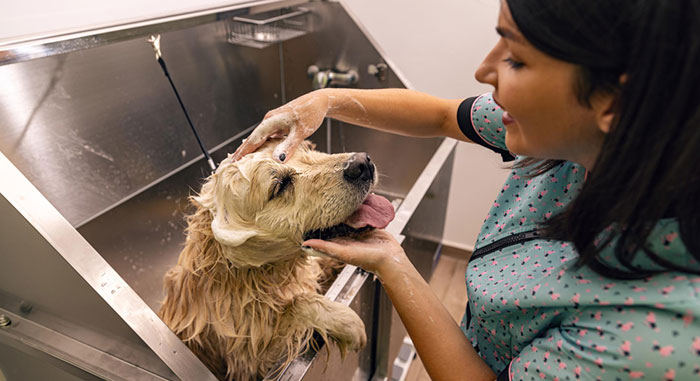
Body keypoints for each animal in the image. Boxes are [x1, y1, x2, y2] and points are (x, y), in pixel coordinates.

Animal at [158, 140, 394, 380]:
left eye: (307, 148)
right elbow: (298, 304)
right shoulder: (250, 365)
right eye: (280, 185)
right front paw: (347, 322)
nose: (361, 163)